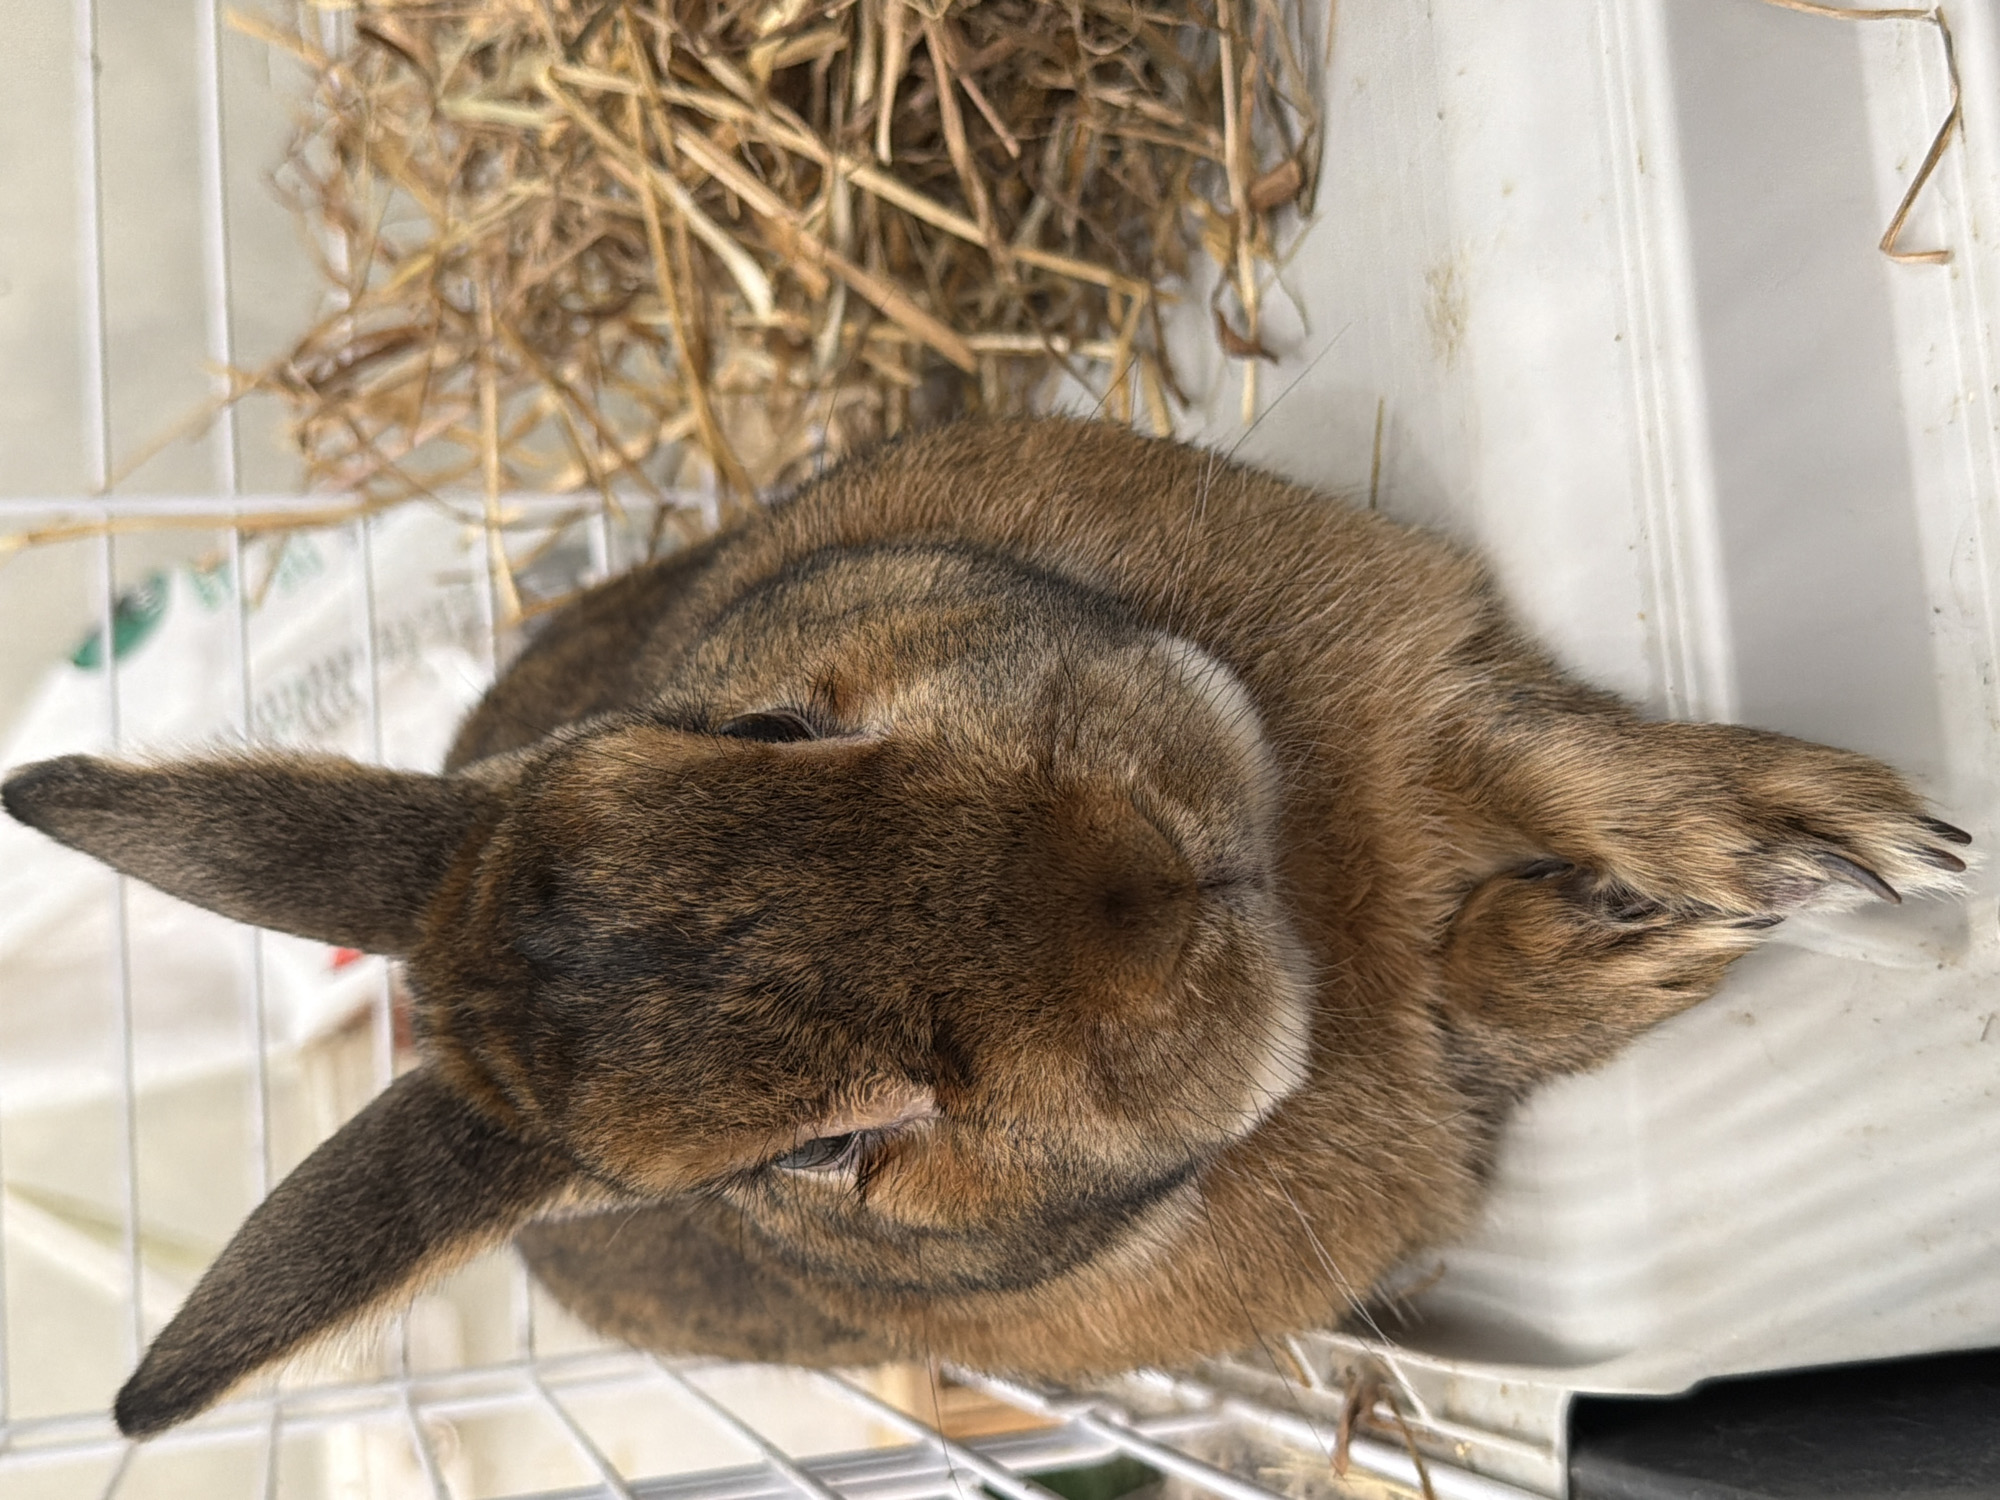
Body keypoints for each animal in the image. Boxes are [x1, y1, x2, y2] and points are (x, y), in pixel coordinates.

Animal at [1, 417, 1972, 1440]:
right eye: (824, 1150)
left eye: (765, 727)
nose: (1155, 882)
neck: (1318, 900)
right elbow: (1511, 971)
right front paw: (1712, 923)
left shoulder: (1432, 692)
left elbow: (1551, 758)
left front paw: (1824, 838)